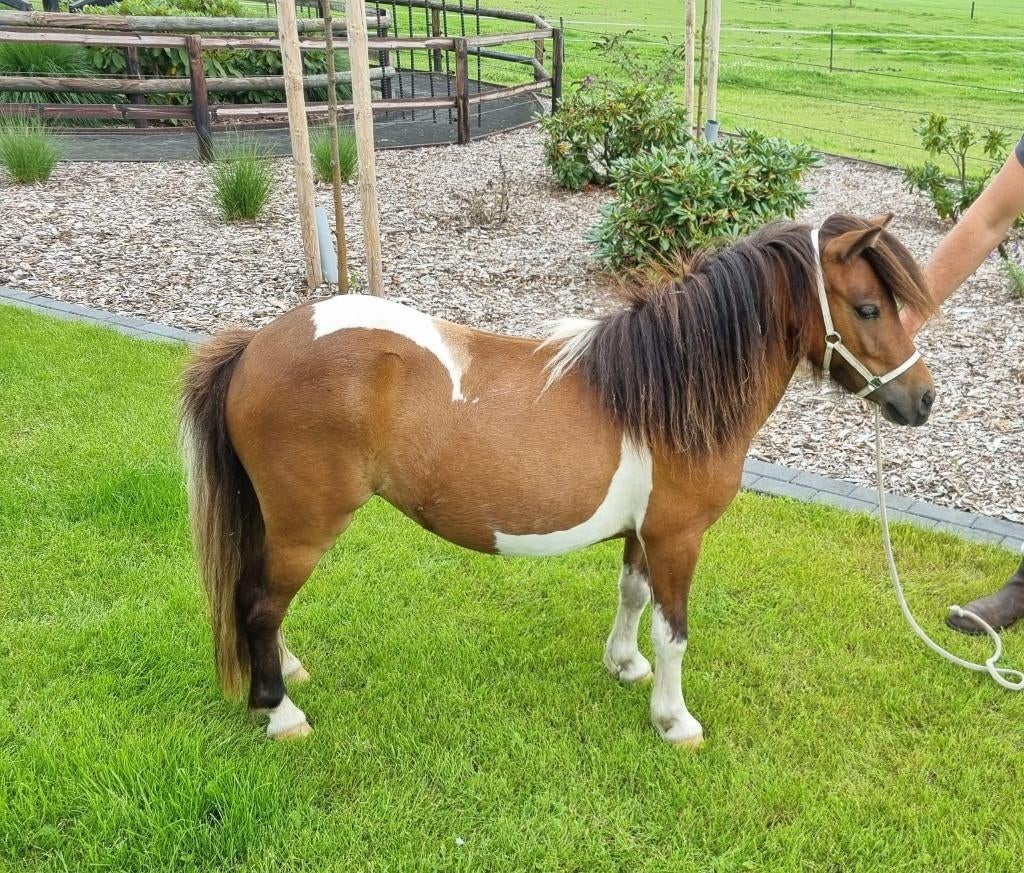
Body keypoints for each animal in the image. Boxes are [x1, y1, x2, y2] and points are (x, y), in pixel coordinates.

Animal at [181, 213, 936, 746]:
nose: (924, 400)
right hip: (306, 527)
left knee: (263, 602)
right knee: (260, 603)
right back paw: (281, 712)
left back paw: (286, 673)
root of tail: (255, 346)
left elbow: (632, 596)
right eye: (868, 308)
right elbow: (674, 631)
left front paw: (624, 666)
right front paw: (674, 720)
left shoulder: (644, 535)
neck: (665, 390)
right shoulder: (679, 538)